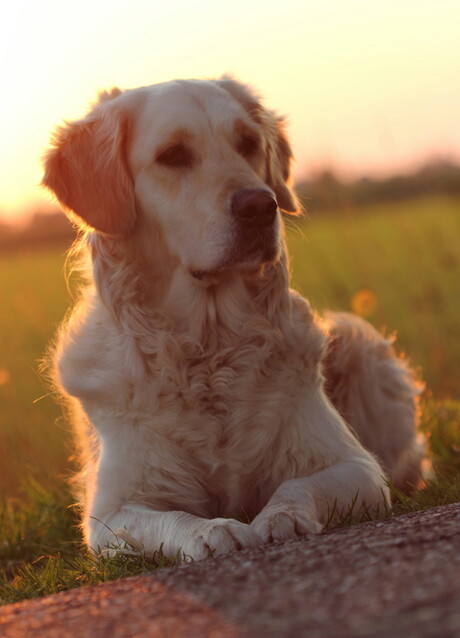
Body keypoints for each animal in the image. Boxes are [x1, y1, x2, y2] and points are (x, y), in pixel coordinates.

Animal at [44, 77, 424, 564]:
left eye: (248, 143)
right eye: (173, 155)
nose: (261, 206)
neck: (210, 348)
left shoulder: (355, 467)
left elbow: (296, 486)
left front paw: (282, 517)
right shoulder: (112, 514)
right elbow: (171, 518)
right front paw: (212, 531)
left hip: (357, 337)